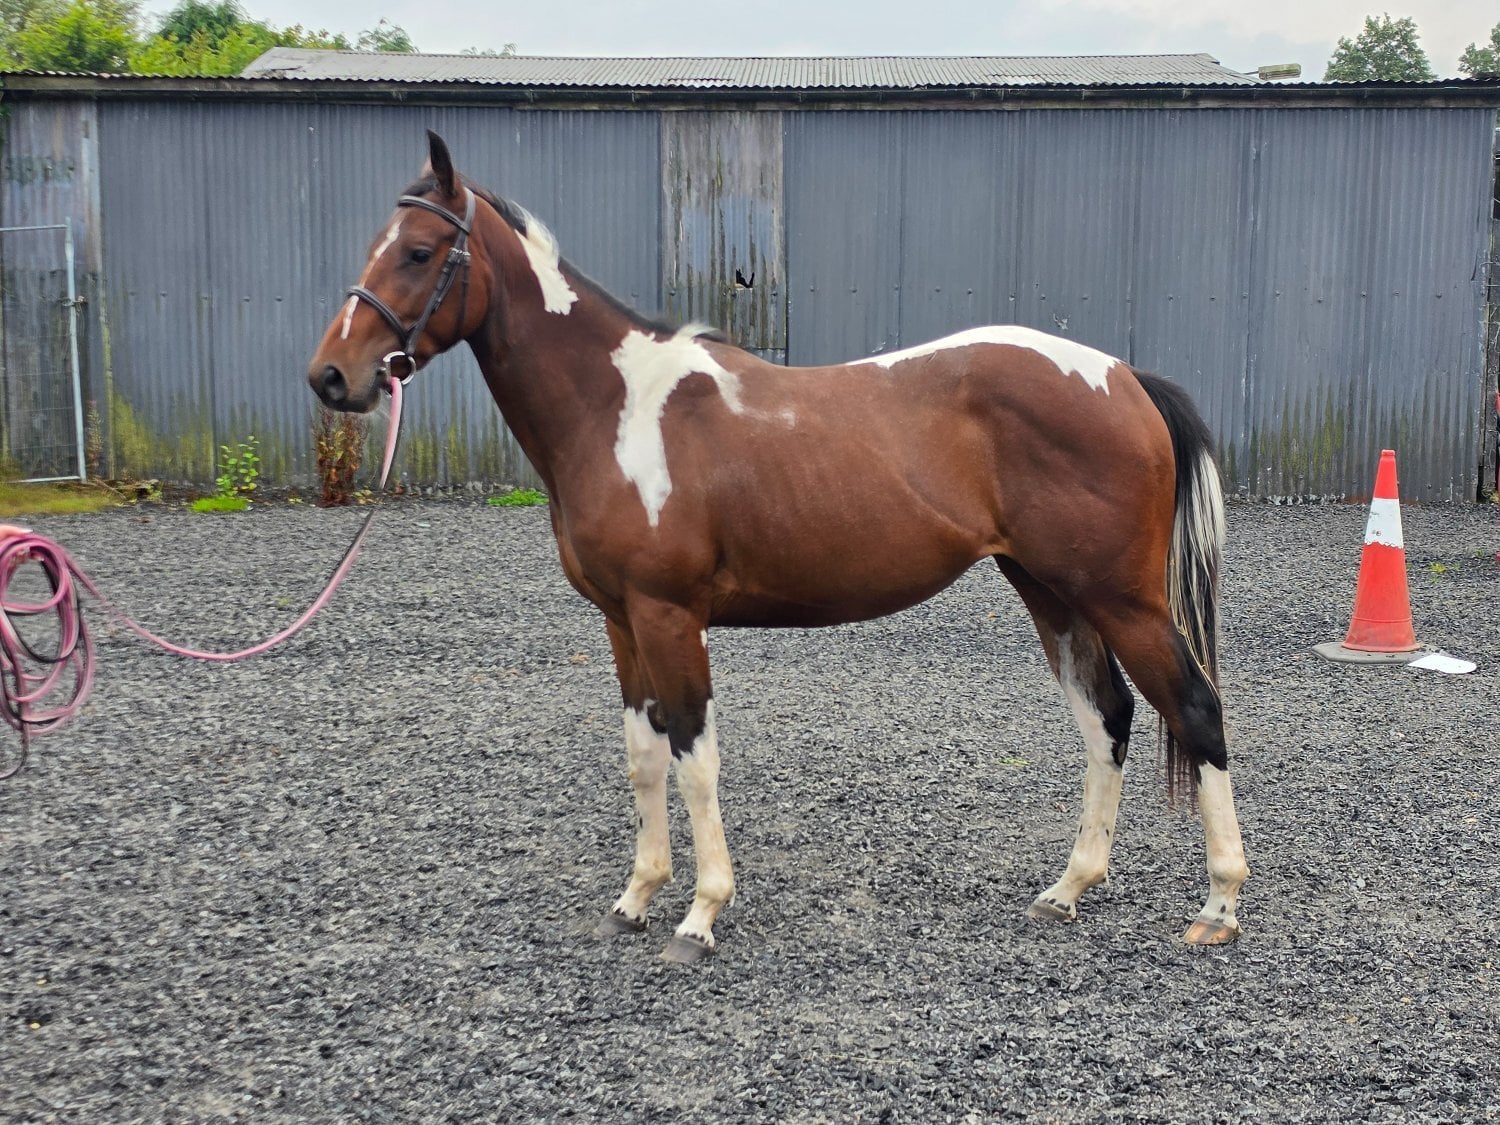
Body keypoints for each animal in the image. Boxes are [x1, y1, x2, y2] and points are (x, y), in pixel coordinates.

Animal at [307, 131, 1249, 962]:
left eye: (420, 251)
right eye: (377, 245)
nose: (331, 377)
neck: (615, 407)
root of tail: (1124, 376)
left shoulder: (669, 616)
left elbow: (694, 757)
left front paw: (699, 915)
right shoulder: (622, 621)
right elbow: (643, 756)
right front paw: (635, 899)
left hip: (1120, 598)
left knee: (1194, 708)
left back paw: (1218, 905)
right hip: (1052, 591)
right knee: (1108, 717)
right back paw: (1070, 887)